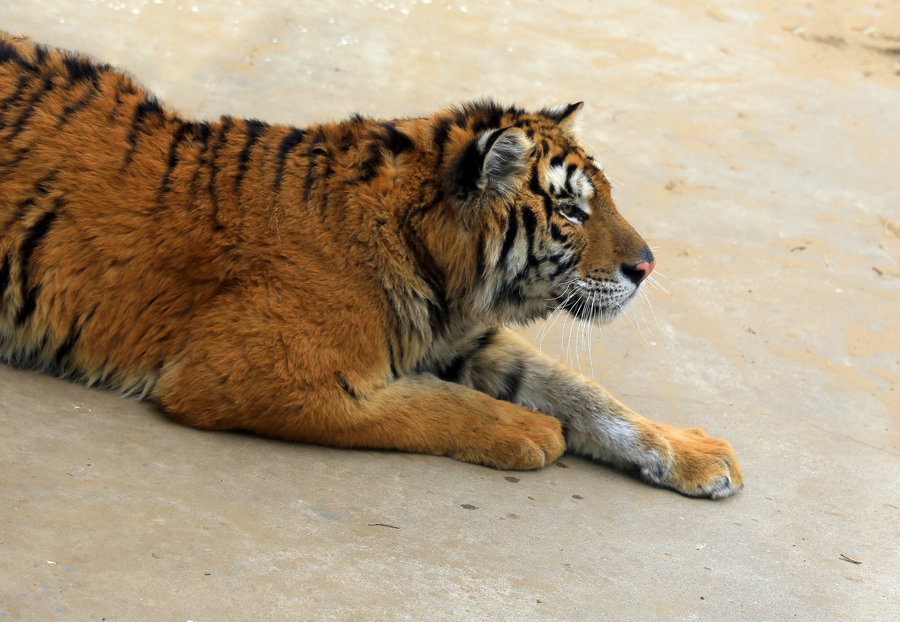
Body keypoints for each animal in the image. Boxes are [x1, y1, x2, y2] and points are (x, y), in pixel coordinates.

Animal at [1, 34, 744, 502]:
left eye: (606, 197)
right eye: (570, 212)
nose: (646, 266)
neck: (439, 268)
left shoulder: (464, 338)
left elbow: (583, 392)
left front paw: (695, 454)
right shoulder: (255, 374)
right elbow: (431, 404)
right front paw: (530, 431)